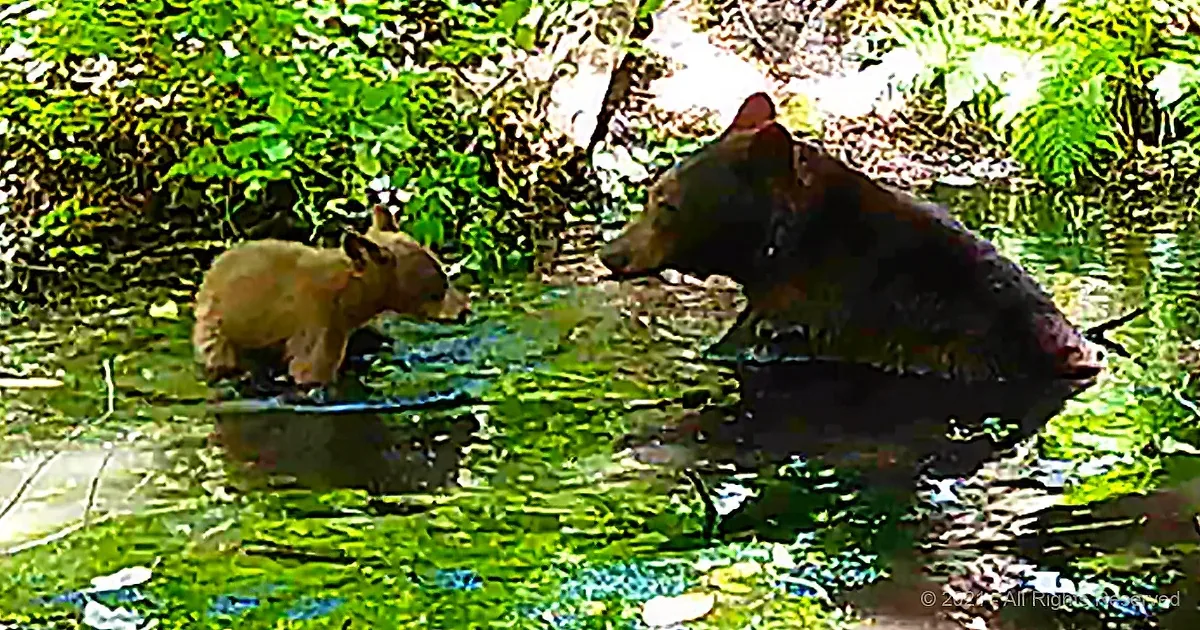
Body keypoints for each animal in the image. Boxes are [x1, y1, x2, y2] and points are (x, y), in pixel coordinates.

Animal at [192, 205, 470, 392]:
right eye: (439, 283)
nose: (465, 310)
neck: (350, 293)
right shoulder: (319, 323)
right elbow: (309, 370)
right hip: (221, 335)